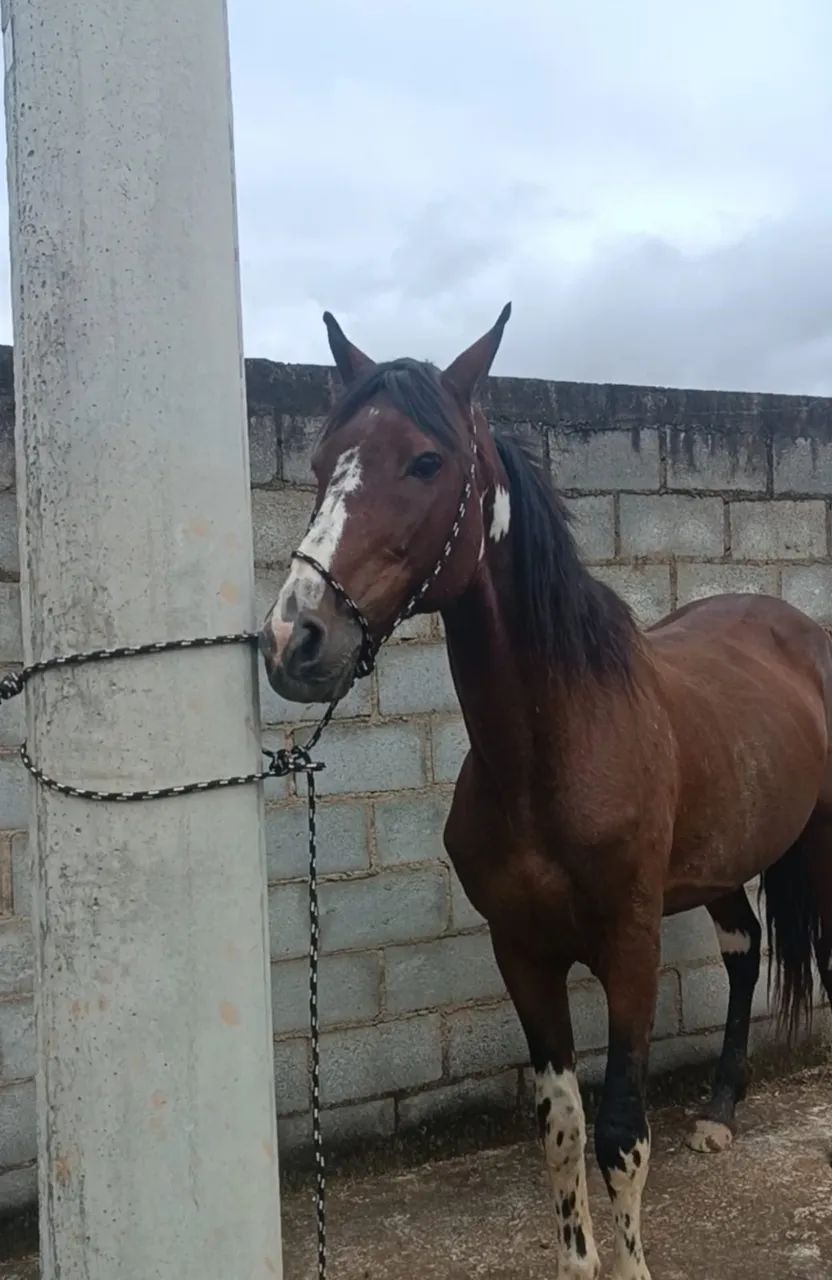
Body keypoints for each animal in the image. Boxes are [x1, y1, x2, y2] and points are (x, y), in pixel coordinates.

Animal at [259, 305, 832, 1280]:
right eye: (322, 460)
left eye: (426, 461)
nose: (296, 639)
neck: (556, 747)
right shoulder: (523, 954)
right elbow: (561, 1130)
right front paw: (578, 1258)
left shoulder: (630, 952)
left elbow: (621, 1135)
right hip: (718, 865)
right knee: (744, 948)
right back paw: (719, 1112)